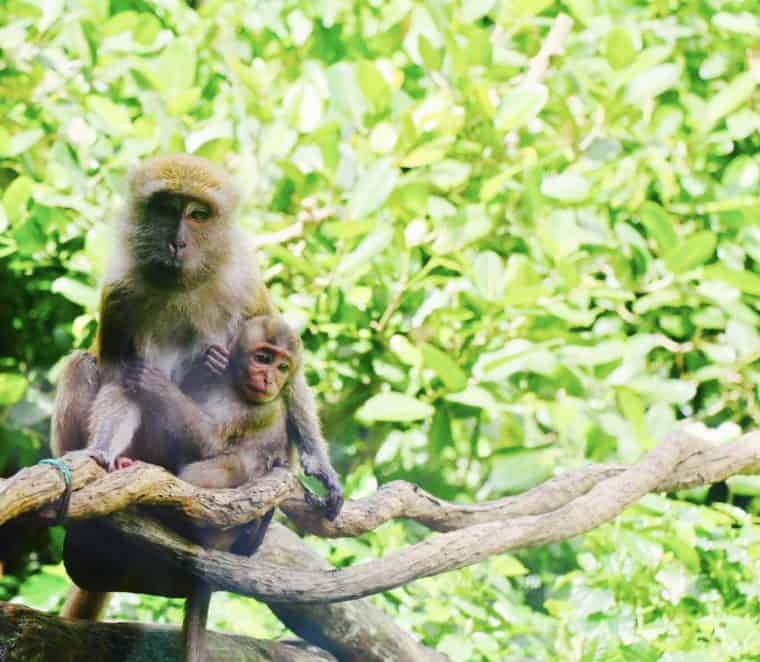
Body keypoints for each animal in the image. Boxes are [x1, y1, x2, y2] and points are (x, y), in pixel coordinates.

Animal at [49, 156, 342, 624]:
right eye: (169, 208)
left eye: (199, 214)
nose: (178, 242)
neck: (182, 285)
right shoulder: (119, 297)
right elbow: (121, 380)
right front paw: (101, 449)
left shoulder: (245, 283)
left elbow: (290, 377)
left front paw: (321, 466)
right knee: (83, 363)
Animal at [121, 318, 314, 662]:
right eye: (263, 358)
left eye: (282, 367)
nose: (270, 379)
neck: (233, 387)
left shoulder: (261, 409)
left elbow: (212, 440)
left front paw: (156, 385)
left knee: (232, 465)